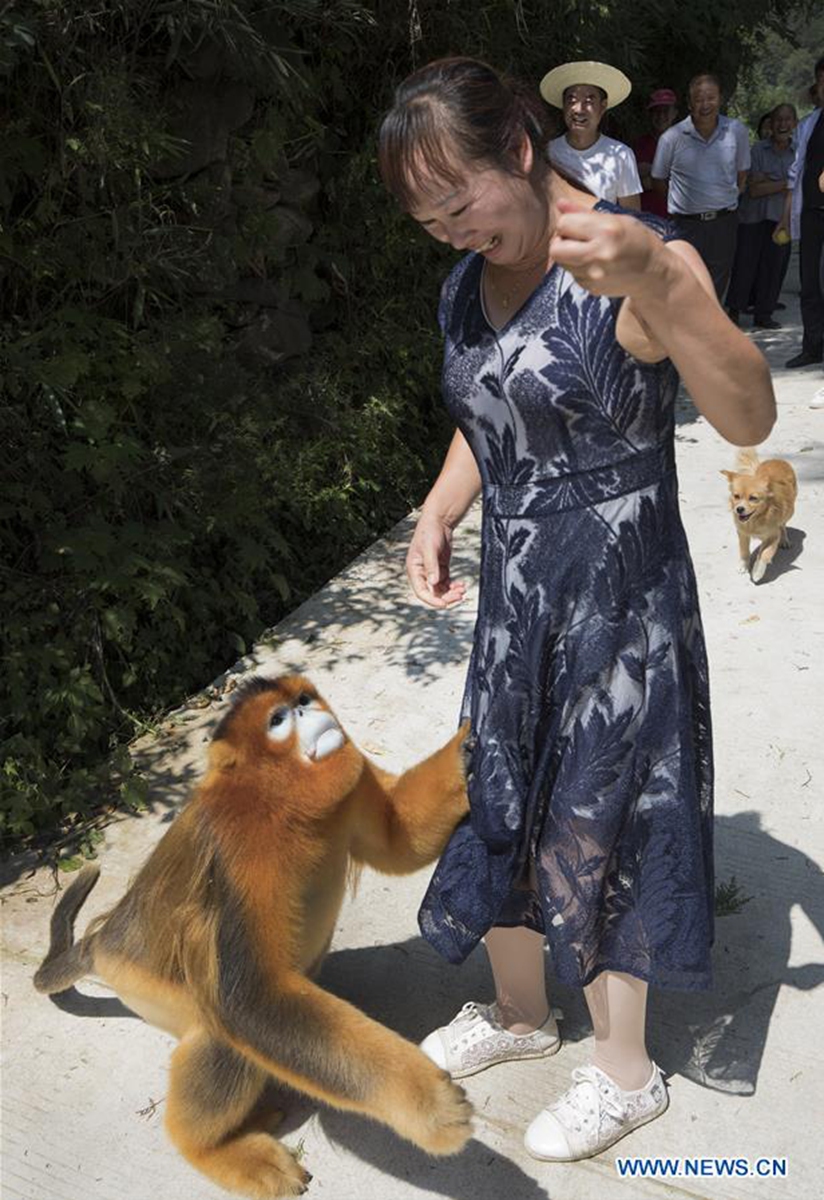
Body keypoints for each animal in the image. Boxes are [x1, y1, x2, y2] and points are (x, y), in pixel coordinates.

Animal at [34, 675, 474, 1199]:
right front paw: (427, 1104)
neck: (279, 803)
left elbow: (398, 840)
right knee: (222, 1034)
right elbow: (249, 1000)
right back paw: (215, 1148)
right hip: (143, 986)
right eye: (278, 720)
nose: (307, 713)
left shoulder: (351, 782)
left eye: (302, 701)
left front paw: (467, 751)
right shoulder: (240, 851)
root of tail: (103, 940)